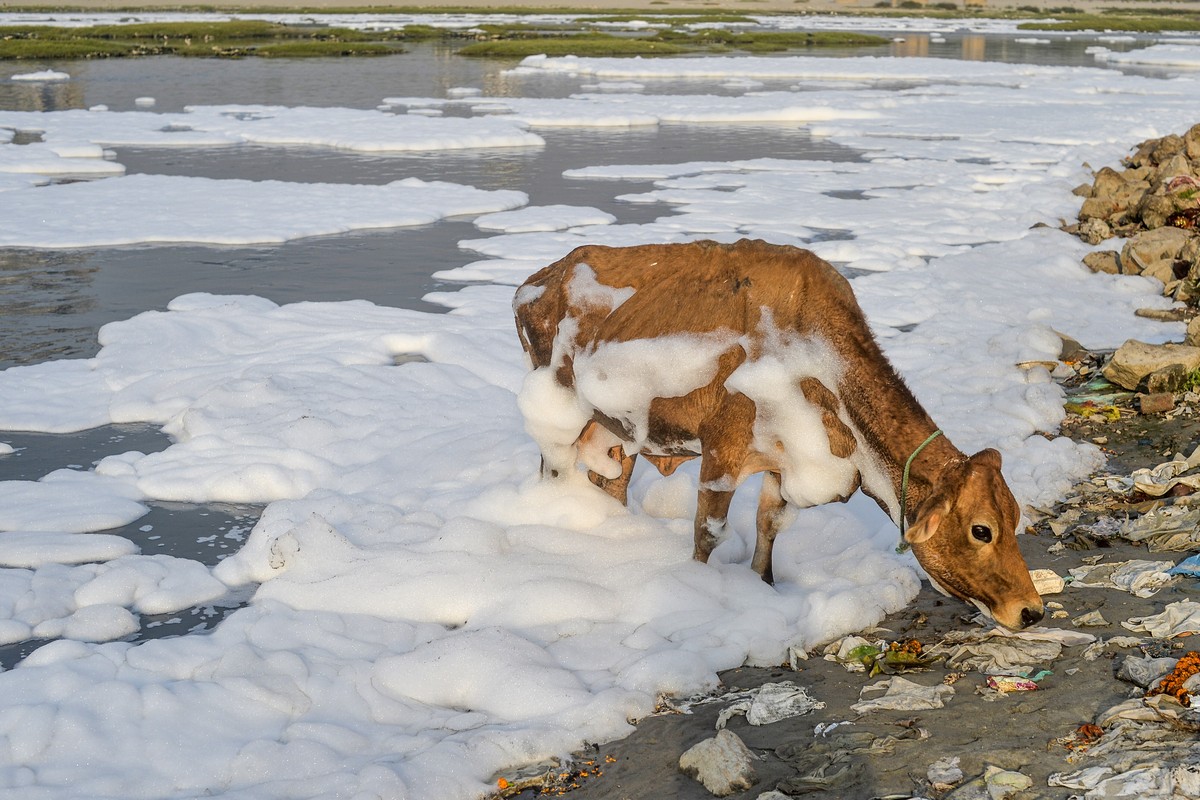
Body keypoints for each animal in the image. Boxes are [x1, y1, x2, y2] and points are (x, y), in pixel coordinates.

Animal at [511, 237, 1046, 633]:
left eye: (1015, 516)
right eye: (981, 529)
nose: (1031, 610)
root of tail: (540, 280)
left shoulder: (784, 463)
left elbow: (768, 525)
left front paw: (765, 588)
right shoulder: (721, 451)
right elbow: (707, 533)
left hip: (616, 435)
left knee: (612, 485)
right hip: (559, 417)